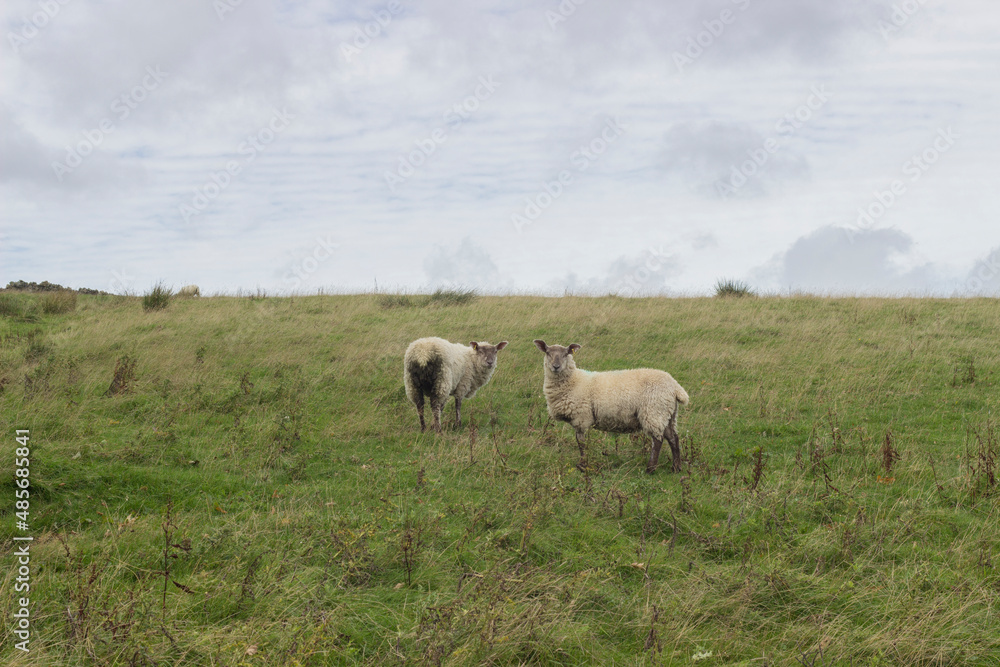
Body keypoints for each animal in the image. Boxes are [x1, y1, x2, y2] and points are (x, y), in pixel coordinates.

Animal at [532, 340, 688, 474]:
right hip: (668, 414)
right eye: (548, 352)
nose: (556, 366)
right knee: (673, 438)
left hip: (654, 412)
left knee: (658, 440)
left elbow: (581, 443)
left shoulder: (581, 417)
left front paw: (582, 466)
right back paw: (676, 468)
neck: (573, 381)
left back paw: (650, 469)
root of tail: (675, 386)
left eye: (566, 354)